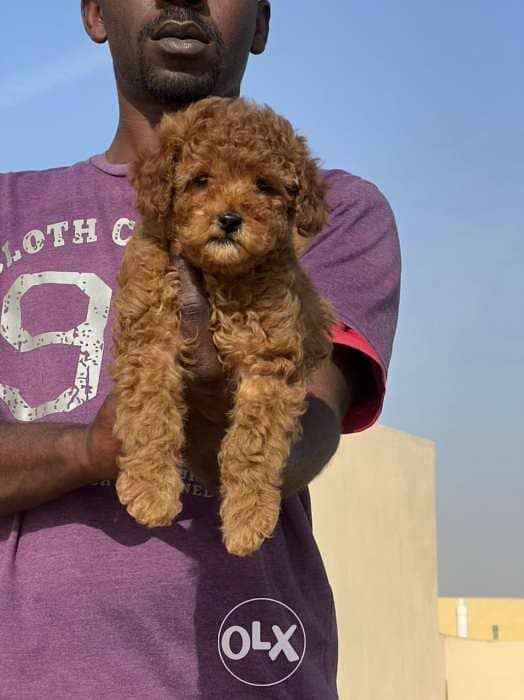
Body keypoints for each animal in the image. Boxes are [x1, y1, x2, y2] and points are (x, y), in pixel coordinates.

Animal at [112, 97, 334, 556]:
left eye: (264, 186)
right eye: (201, 180)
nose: (229, 219)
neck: (218, 274)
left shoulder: (268, 362)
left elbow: (251, 446)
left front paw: (248, 518)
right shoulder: (149, 338)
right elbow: (150, 414)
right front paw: (151, 491)